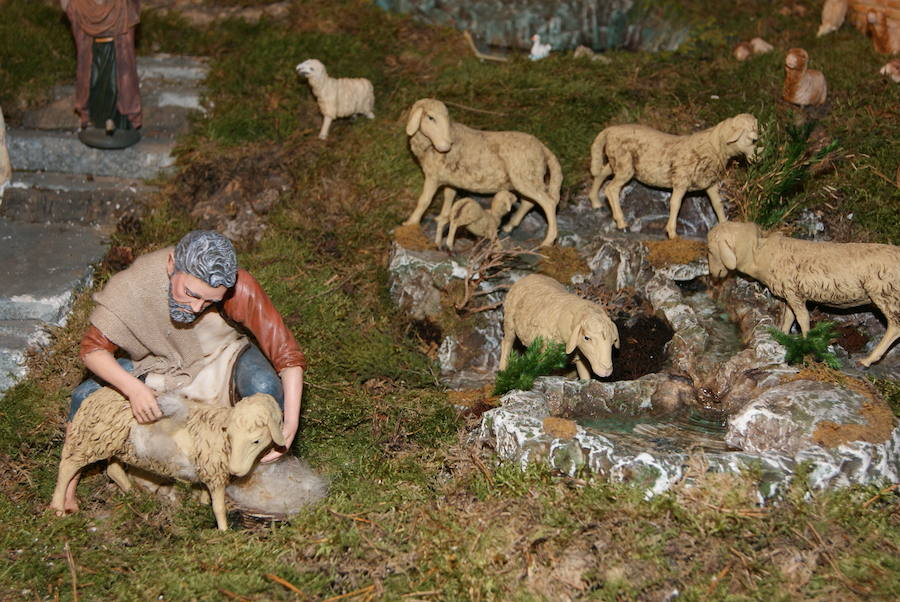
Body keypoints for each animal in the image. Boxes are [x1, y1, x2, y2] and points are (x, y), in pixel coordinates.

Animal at [48, 386, 284, 528]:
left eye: (255, 441)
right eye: (231, 435)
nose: (236, 470)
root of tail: (93, 397)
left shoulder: (206, 468)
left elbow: (204, 494)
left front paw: (200, 505)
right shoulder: (214, 472)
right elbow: (219, 507)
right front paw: (224, 532)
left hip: (115, 444)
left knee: (113, 469)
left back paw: (135, 494)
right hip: (91, 442)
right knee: (67, 467)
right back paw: (58, 508)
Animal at [402, 98, 560, 246]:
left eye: (445, 118)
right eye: (430, 117)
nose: (447, 145)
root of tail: (543, 148)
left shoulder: (433, 177)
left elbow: (424, 201)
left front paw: (410, 223)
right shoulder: (449, 179)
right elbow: (449, 198)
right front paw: (443, 217)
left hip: (526, 177)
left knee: (548, 203)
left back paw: (548, 241)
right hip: (528, 178)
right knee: (529, 202)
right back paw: (510, 226)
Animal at [584, 112, 760, 237]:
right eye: (753, 140)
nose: (757, 158)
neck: (712, 148)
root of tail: (609, 130)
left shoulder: (710, 183)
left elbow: (717, 204)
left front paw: (724, 225)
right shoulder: (681, 181)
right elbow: (675, 204)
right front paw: (672, 233)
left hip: (617, 162)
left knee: (600, 174)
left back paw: (595, 202)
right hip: (624, 165)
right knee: (611, 189)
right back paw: (622, 223)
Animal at [712, 220, 900, 366]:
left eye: (711, 250)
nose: (713, 274)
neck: (760, 253)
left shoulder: (794, 294)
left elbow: (802, 319)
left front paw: (806, 343)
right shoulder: (789, 294)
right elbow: (789, 318)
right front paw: (782, 336)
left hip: (885, 293)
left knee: (895, 327)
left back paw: (867, 360)